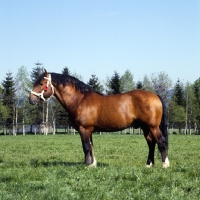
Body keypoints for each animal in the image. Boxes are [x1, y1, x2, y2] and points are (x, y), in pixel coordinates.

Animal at [29, 70, 170, 167]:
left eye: (42, 83)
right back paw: (149, 164)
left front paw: (87, 165)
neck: (80, 99)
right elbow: (91, 146)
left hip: (152, 127)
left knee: (161, 142)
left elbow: (86, 147)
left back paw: (165, 164)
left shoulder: (84, 129)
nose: (31, 99)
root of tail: (155, 96)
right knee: (151, 143)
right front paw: (92, 164)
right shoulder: (89, 130)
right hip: (146, 128)